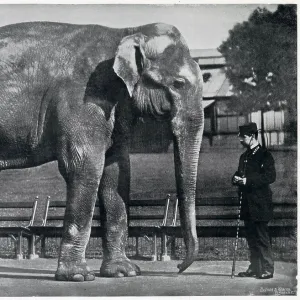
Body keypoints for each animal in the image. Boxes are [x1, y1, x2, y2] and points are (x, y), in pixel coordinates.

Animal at [0, 21, 204, 282]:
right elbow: (84, 166)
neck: (125, 32)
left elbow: (116, 171)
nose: (179, 267)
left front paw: (124, 272)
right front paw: (77, 276)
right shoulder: (82, 98)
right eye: (179, 83)